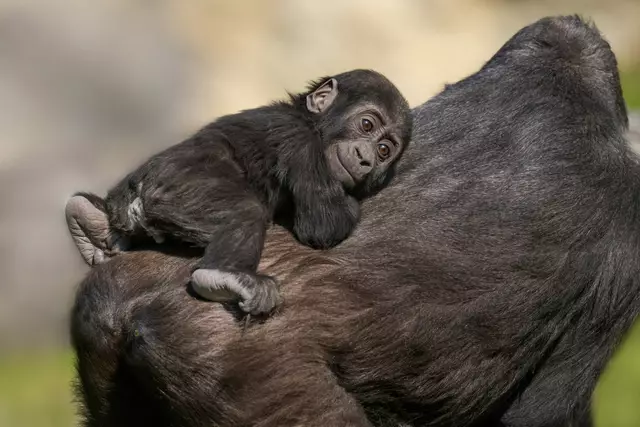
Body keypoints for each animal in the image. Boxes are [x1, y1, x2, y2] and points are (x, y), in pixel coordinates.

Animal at [65, 69, 412, 316]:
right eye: (366, 125)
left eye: (384, 149)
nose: (366, 157)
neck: (313, 123)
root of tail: (132, 201)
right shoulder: (300, 143)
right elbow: (324, 224)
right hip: (179, 193)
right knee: (245, 212)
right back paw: (223, 277)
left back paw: (89, 224)